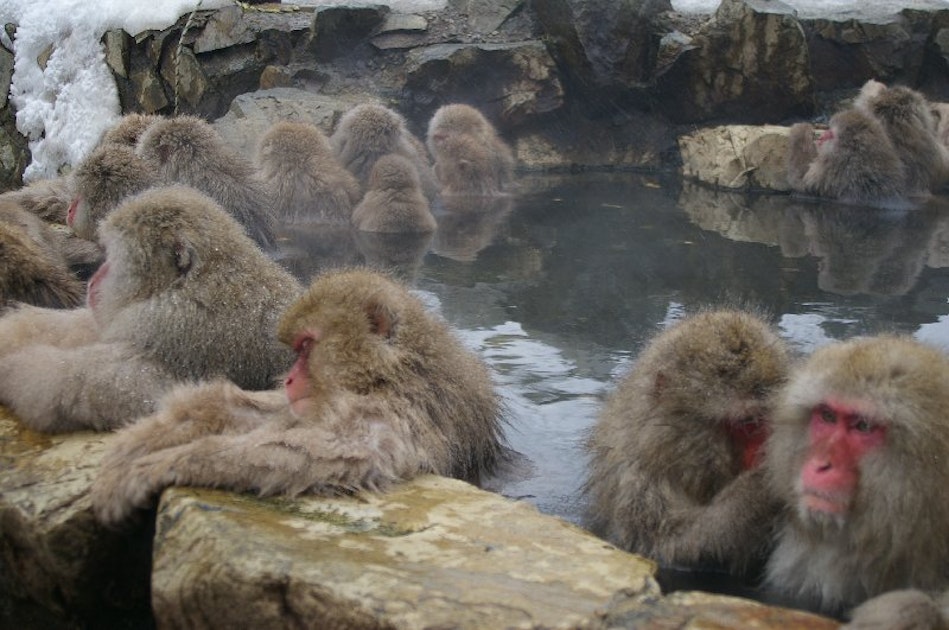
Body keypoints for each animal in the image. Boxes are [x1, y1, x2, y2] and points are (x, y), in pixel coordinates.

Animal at [92, 270, 508, 524]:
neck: (388, 374)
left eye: (306, 346)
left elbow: (325, 453)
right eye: (296, 349)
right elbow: (272, 416)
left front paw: (169, 462)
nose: (290, 378)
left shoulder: (397, 409)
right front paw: (146, 440)